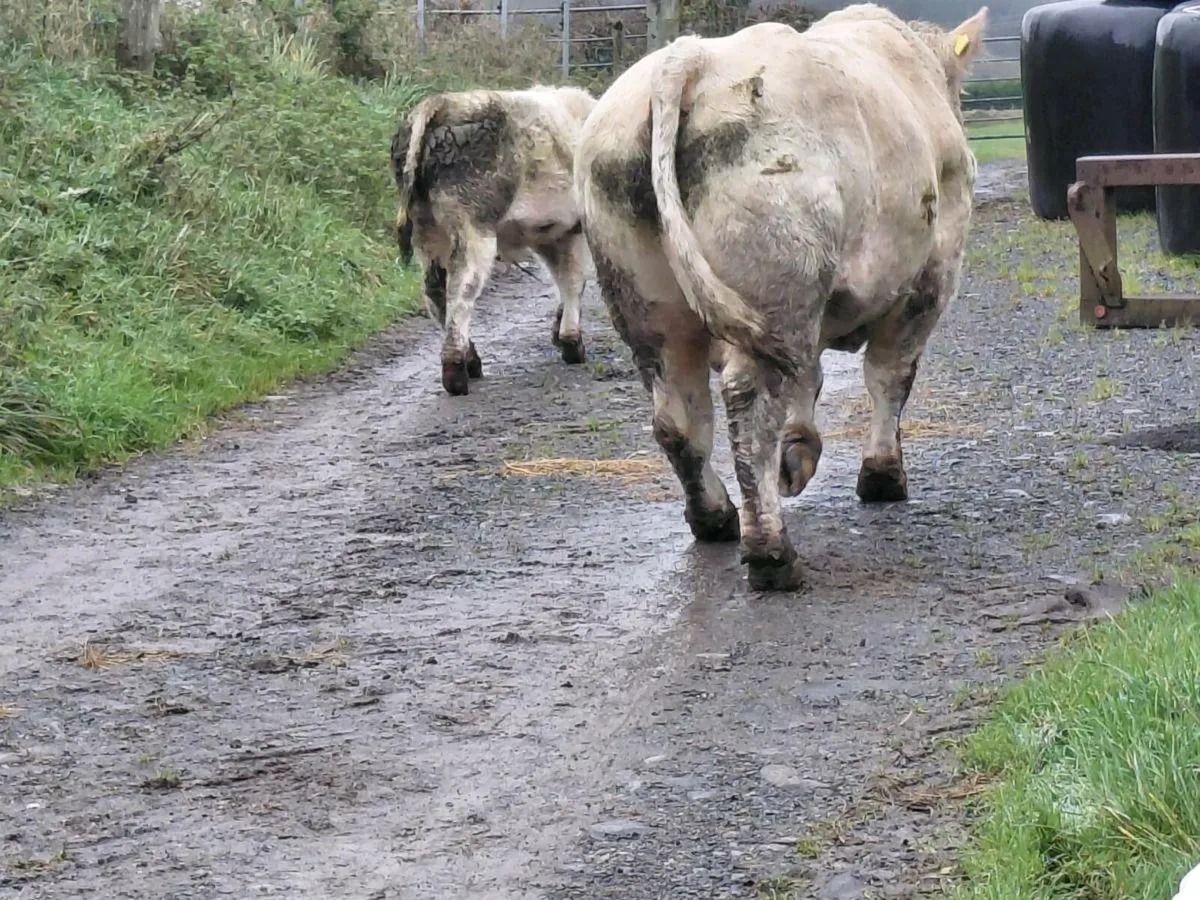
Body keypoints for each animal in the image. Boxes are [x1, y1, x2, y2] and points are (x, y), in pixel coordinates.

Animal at [390, 84, 598, 396]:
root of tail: (441, 103)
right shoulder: (574, 230)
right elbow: (573, 279)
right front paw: (572, 343)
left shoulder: (552, 234)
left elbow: (566, 278)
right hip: (473, 227)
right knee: (461, 290)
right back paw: (456, 371)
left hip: (426, 232)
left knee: (435, 292)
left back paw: (471, 360)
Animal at [574, 3, 988, 591]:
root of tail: (691, 58)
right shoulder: (930, 278)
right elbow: (890, 376)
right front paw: (882, 475)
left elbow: (810, 378)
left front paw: (800, 452)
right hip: (778, 272)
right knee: (750, 401)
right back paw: (772, 553)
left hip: (651, 305)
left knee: (678, 416)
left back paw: (716, 519)